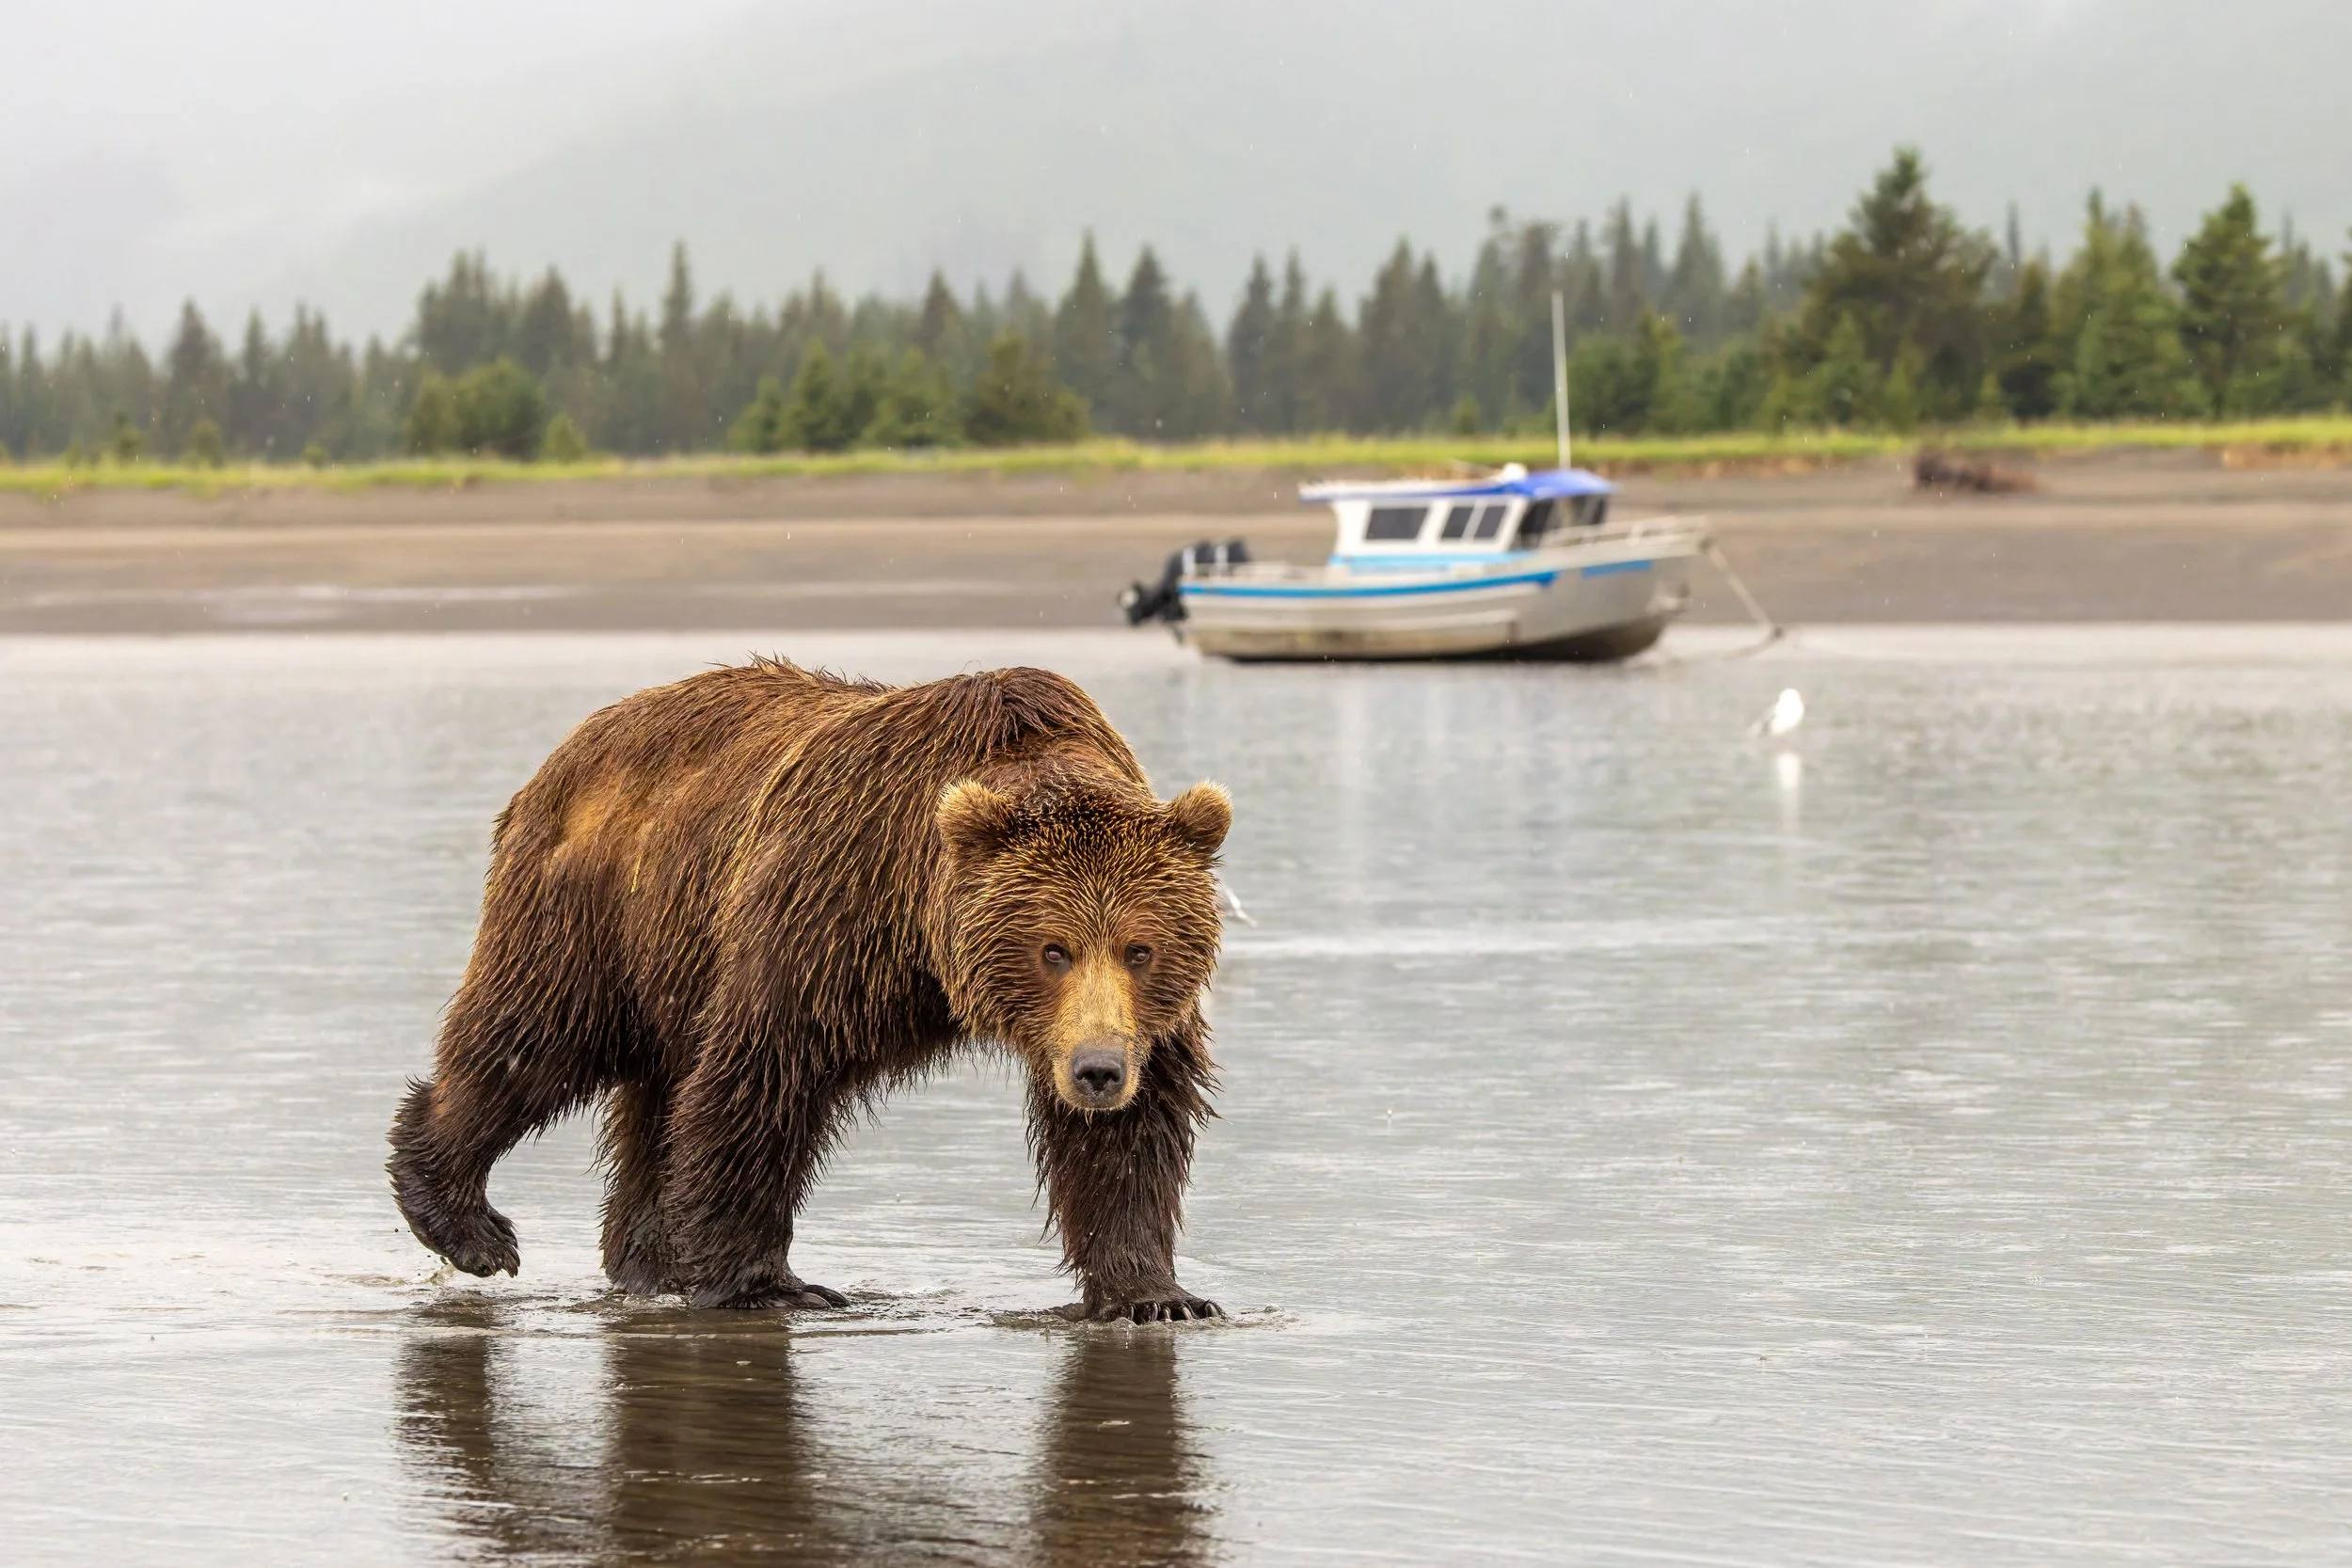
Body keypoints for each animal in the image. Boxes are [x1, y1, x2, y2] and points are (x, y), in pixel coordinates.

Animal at [386, 658, 1230, 1322]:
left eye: (1140, 948)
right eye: (1052, 949)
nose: (1097, 1070)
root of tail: (572, 746)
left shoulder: (1137, 1021)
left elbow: (1129, 1139)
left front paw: (1157, 1294)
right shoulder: (832, 907)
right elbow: (764, 1072)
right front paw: (766, 1283)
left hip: (672, 959)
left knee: (652, 1093)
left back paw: (647, 1261)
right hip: (593, 909)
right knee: (534, 1038)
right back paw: (466, 1220)